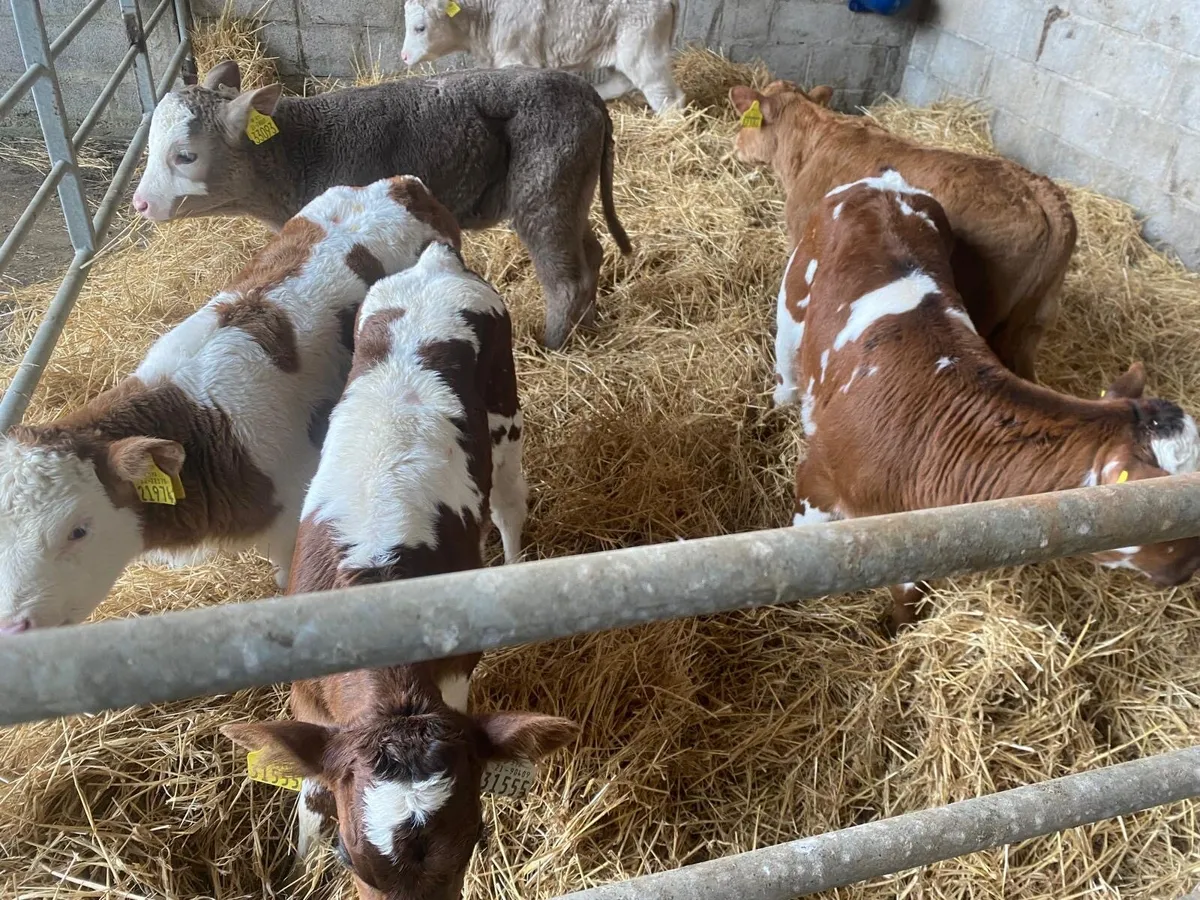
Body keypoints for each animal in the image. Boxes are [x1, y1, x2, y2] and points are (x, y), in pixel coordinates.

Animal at [131, 61, 633, 350]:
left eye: (185, 156)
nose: (140, 203)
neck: (298, 155)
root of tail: (586, 93)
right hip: (573, 186)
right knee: (591, 254)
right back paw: (587, 327)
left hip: (544, 188)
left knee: (564, 279)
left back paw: (553, 346)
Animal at [224, 241, 574, 900]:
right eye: (348, 854)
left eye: (474, 841)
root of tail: (437, 263)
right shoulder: (309, 701)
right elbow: (311, 790)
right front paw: (298, 866)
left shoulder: (455, 679)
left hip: (504, 414)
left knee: (509, 504)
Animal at [399, 0, 685, 114]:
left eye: (420, 28)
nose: (403, 56)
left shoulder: (516, 54)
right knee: (621, 81)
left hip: (643, 51)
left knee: (668, 98)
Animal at [782, 168, 1200, 633]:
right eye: (1167, 509)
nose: (1190, 569)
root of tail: (887, 183)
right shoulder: (817, 480)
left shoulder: (916, 539)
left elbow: (907, 595)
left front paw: (897, 630)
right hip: (793, 295)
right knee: (785, 370)